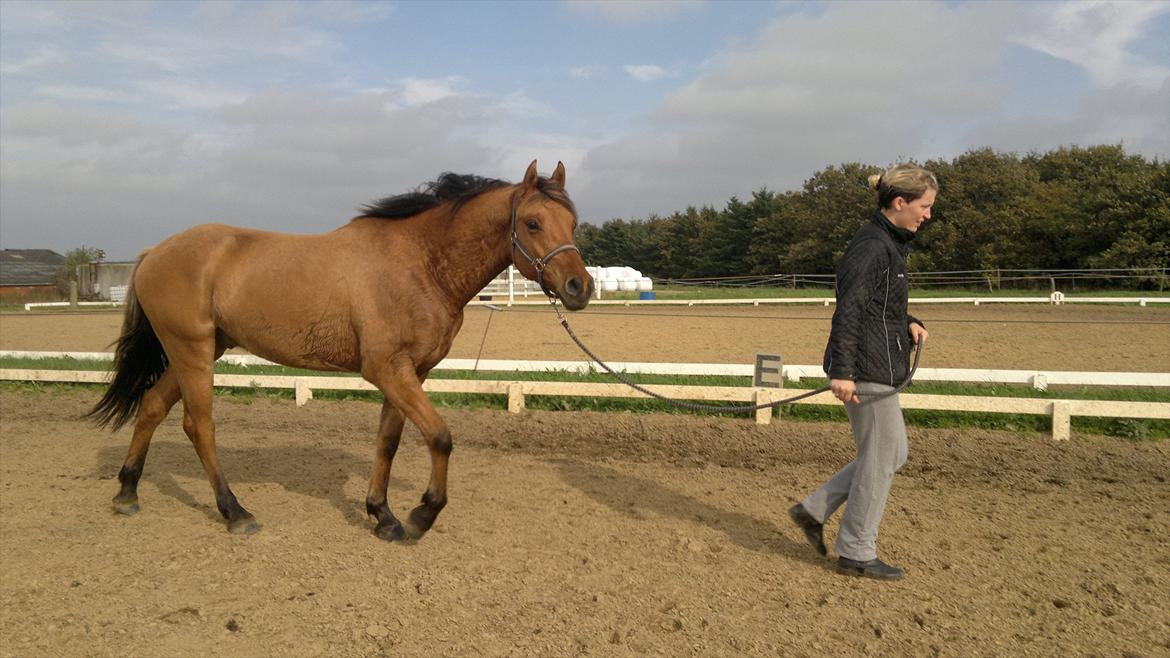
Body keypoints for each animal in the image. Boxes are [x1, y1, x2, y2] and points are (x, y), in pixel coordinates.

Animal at [88, 160, 593, 541]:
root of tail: (154, 252)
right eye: (532, 223)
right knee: (200, 426)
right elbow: (440, 436)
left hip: (198, 350)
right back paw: (235, 512)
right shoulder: (387, 369)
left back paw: (127, 492)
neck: (419, 263)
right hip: (191, 351)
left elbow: (388, 441)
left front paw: (383, 515)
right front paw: (421, 514)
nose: (579, 287)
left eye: (572, 222)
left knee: (152, 406)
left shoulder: (411, 373)